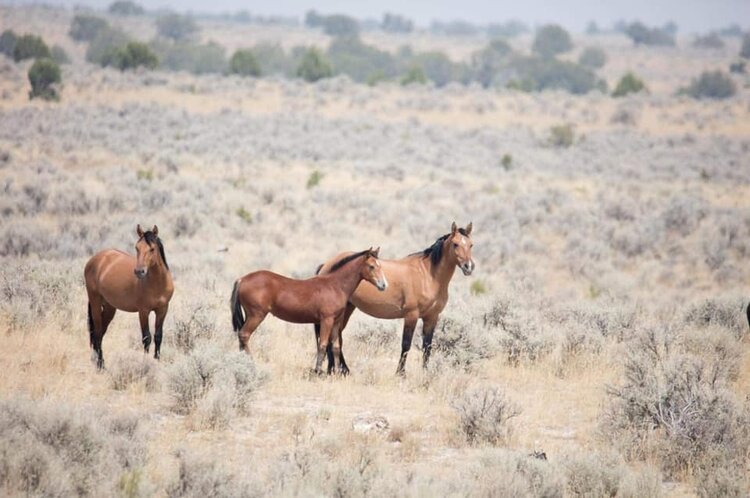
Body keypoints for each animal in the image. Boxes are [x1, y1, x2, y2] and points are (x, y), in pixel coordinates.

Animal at [84, 226, 175, 370]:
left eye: (152, 249)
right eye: (137, 248)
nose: (139, 271)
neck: (157, 283)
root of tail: (95, 259)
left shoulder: (163, 310)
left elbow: (158, 336)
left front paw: (157, 361)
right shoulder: (143, 311)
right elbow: (146, 338)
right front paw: (145, 363)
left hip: (109, 308)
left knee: (101, 333)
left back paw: (99, 362)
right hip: (95, 303)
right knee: (97, 333)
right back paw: (100, 366)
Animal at [231, 247, 388, 372]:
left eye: (380, 265)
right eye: (371, 266)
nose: (383, 285)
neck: (335, 285)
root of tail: (242, 279)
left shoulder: (336, 321)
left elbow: (336, 347)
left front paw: (337, 372)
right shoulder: (326, 320)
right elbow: (323, 345)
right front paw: (318, 371)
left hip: (250, 315)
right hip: (256, 316)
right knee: (244, 335)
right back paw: (250, 364)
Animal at [316, 221, 476, 374]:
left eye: (471, 244)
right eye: (455, 244)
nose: (468, 267)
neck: (428, 275)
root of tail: (326, 265)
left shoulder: (432, 317)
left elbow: (427, 347)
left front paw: (425, 373)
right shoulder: (411, 315)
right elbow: (406, 345)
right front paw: (400, 373)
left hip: (348, 308)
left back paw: (340, 369)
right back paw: (335, 369)